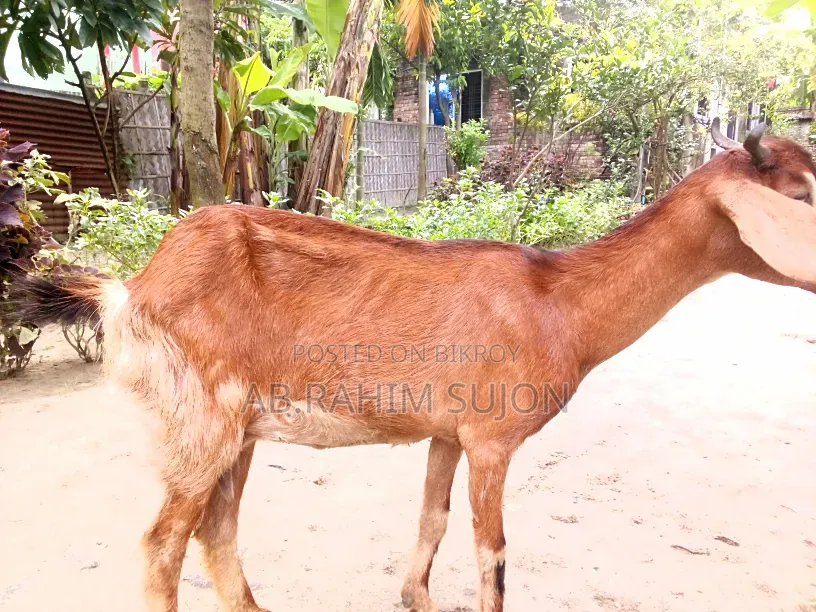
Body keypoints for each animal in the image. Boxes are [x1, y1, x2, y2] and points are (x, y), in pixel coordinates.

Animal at [11, 120, 816, 612]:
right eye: (803, 192)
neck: (558, 301)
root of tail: (134, 289)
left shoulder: (447, 432)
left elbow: (431, 517)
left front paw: (415, 597)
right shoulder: (492, 438)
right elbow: (493, 552)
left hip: (236, 428)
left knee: (217, 530)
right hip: (200, 418)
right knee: (162, 544)